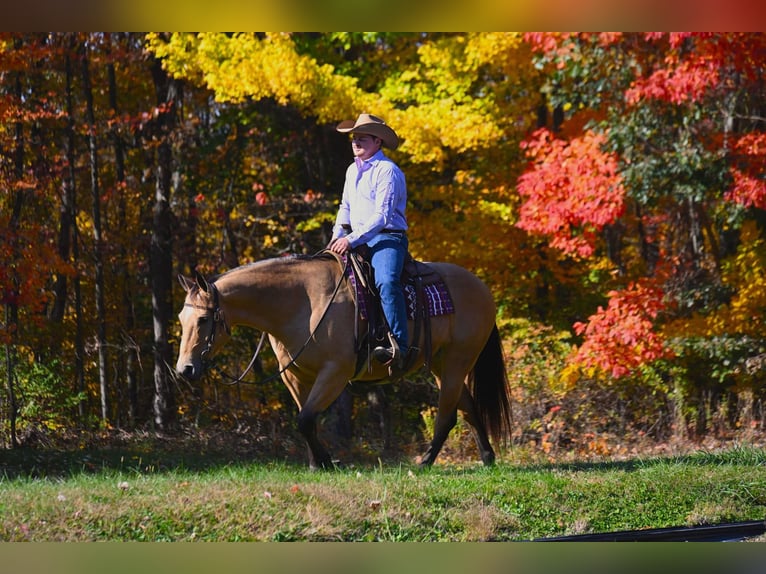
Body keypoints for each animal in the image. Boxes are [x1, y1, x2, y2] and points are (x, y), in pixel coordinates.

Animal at [176, 254, 512, 470]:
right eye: (181, 318)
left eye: (203, 320)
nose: (185, 369)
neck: (300, 303)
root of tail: (482, 288)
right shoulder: (295, 376)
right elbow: (306, 418)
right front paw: (319, 462)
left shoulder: (335, 373)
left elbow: (306, 419)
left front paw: (325, 462)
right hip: (443, 365)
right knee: (467, 408)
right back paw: (486, 457)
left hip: (457, 361)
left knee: (447, 415)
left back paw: (425, 461)